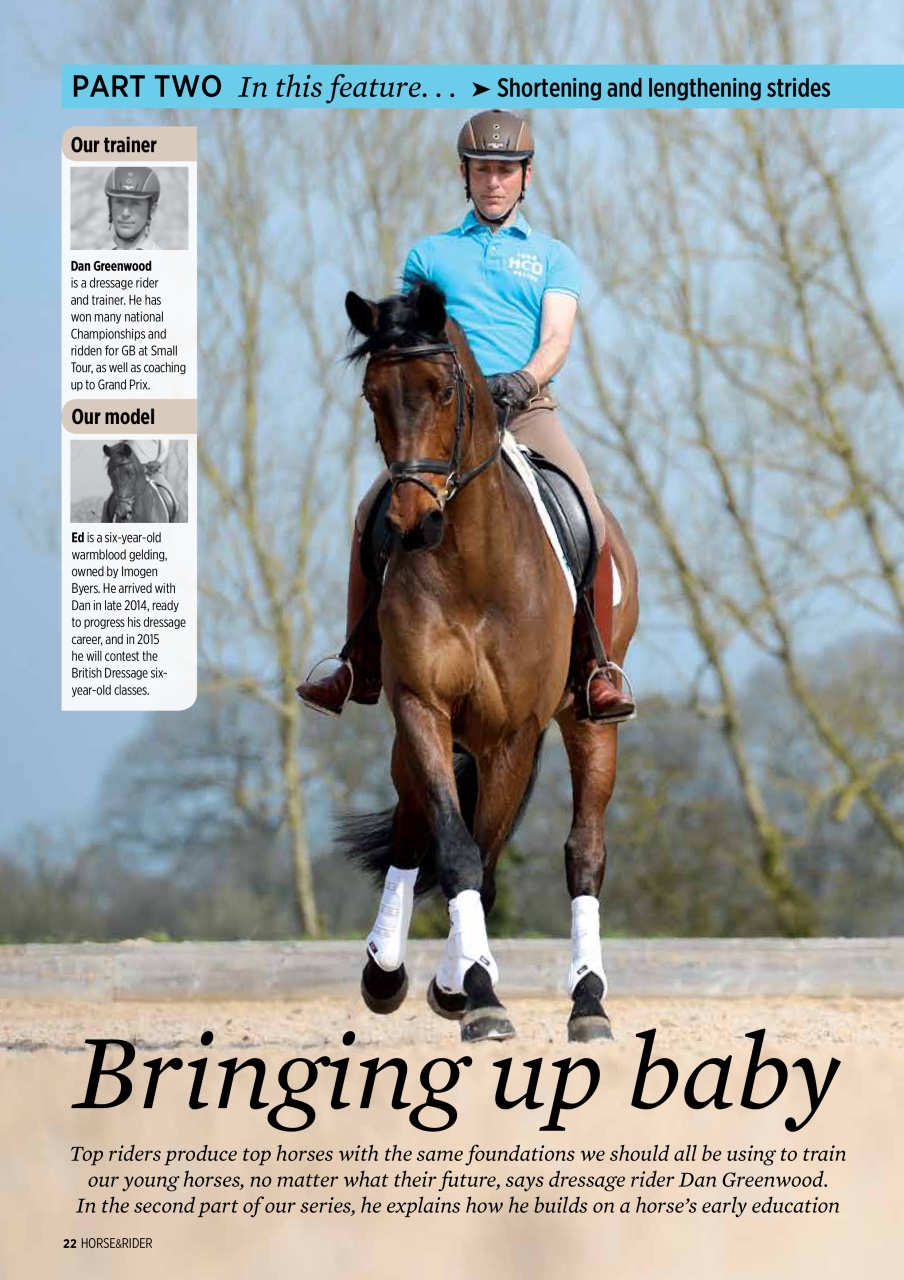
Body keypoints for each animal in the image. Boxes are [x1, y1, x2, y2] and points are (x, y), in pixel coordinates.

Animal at [338, 282, 639, 1043]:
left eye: (444, 390)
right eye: (373, 395)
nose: (410, 524)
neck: (470, 560)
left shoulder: (512, 734)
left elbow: (483, 854)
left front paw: (471, 990)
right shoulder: (420, 708)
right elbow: (453, 847)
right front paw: (467, 988)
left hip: (589, 722)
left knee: (582, 853)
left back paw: (588, 1002)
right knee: (414, 831)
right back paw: (387, 972)